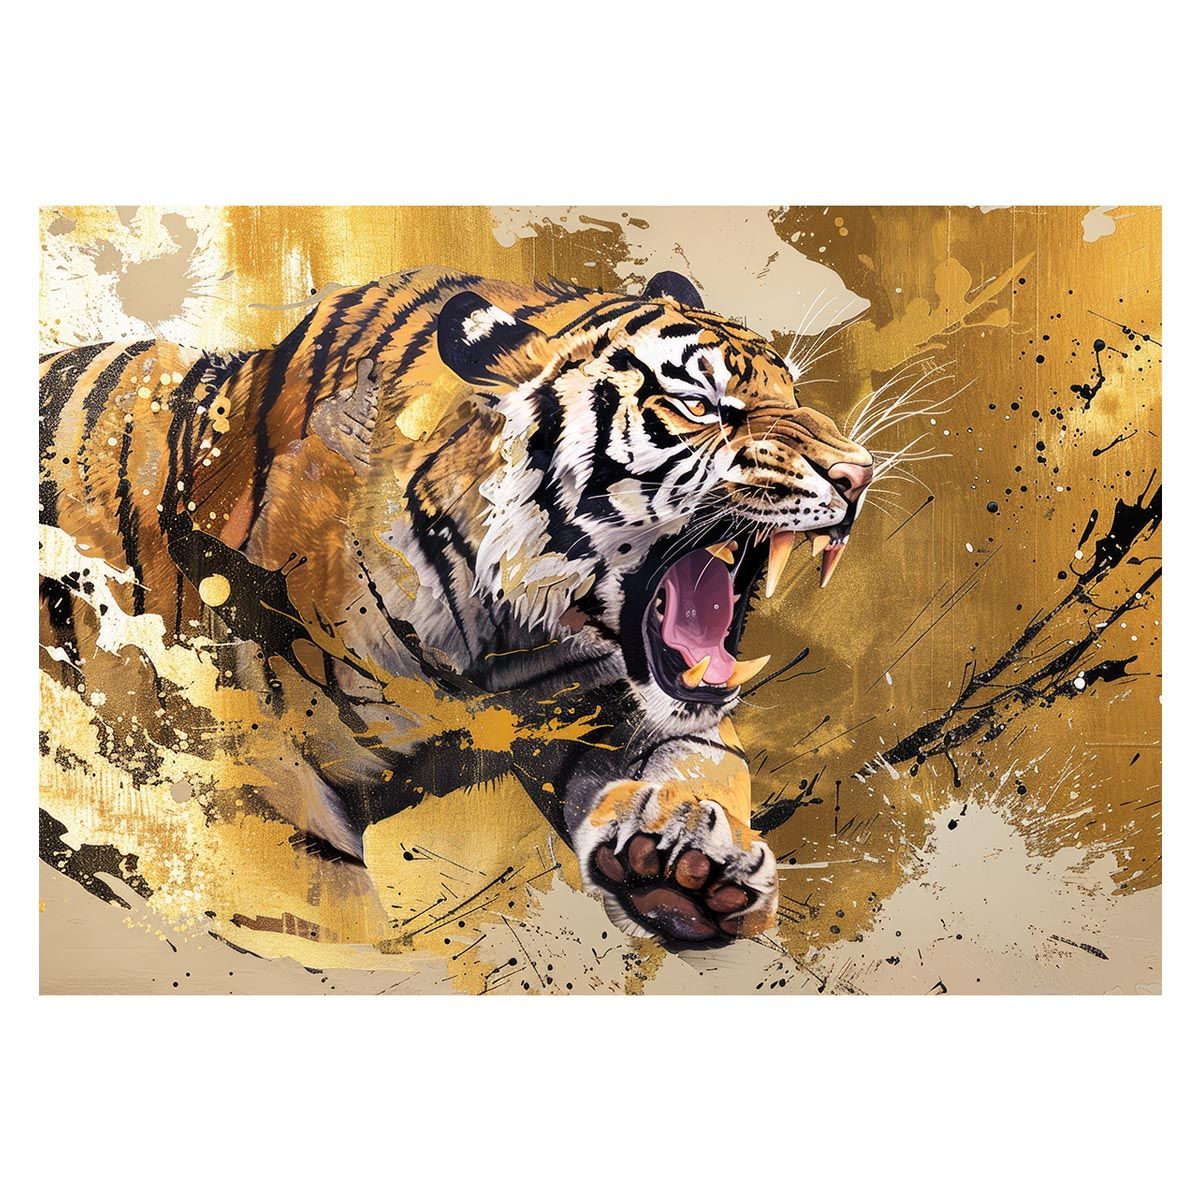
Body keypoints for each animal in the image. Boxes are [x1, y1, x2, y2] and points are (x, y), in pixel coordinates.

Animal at [39, 266, 874, 947]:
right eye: (701, 404)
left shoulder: (597, 693)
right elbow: (324, 917)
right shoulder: (252, 770)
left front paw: (692, 865)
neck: (502, 628)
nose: (858, 473)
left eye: (794, 397)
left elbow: (699, 754)